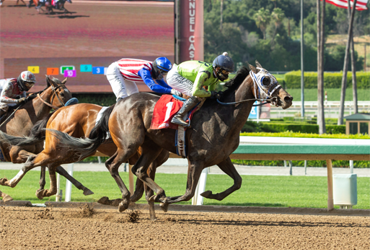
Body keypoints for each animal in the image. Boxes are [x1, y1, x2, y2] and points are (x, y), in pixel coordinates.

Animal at [42, 61, 294, 218]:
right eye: (265, 80)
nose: (288, 98)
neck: (225, 115)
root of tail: (118, 104)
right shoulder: (196, 159)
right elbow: (188, 192)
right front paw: (162, 201)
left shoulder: (222, 158)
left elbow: (237, 182)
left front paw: (209, 194)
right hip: (130, 144)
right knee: (112, 165)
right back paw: (124, 199)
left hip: (150, 147)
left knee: (138, 170)